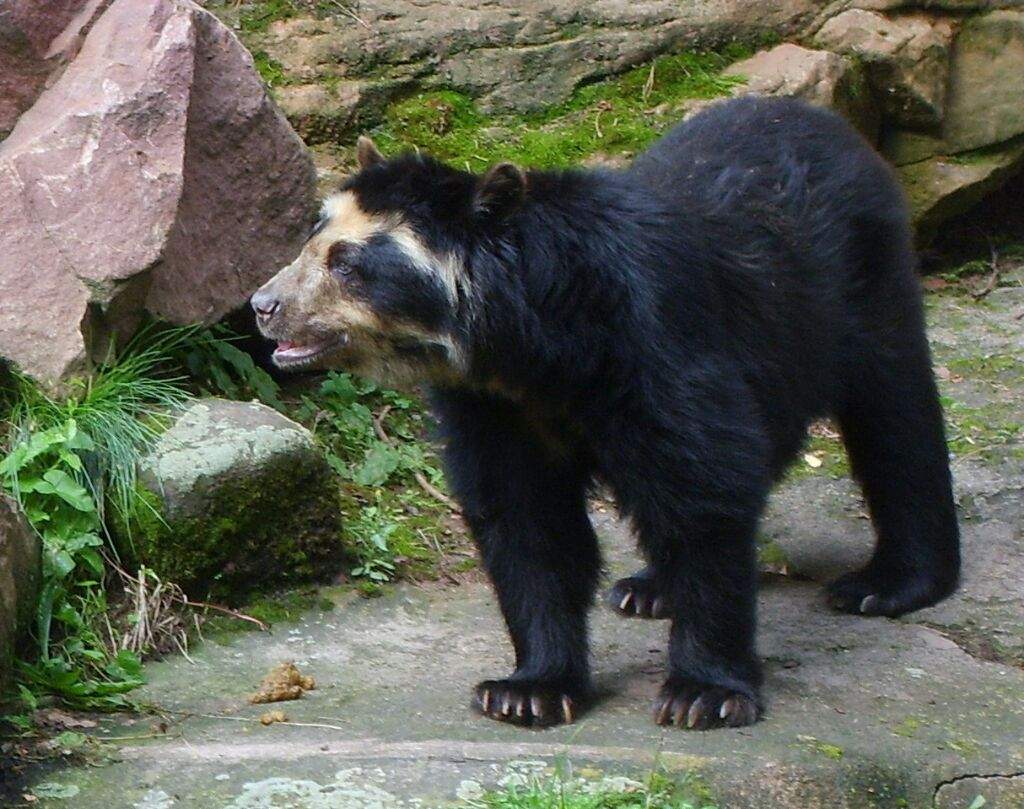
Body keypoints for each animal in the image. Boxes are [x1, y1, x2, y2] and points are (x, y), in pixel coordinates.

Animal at [249, 96, 958, 733]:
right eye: (311, 239)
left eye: (349, 263)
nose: (263, 305)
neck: (542, 350)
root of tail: (828, 122)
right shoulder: (496, 407)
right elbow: (525, 518)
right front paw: (526, 691)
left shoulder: (659, 347)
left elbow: (704, 490)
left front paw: (703, 695)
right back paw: (648, 588)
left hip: (861, 282)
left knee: (895, 418)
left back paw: (887, 583)